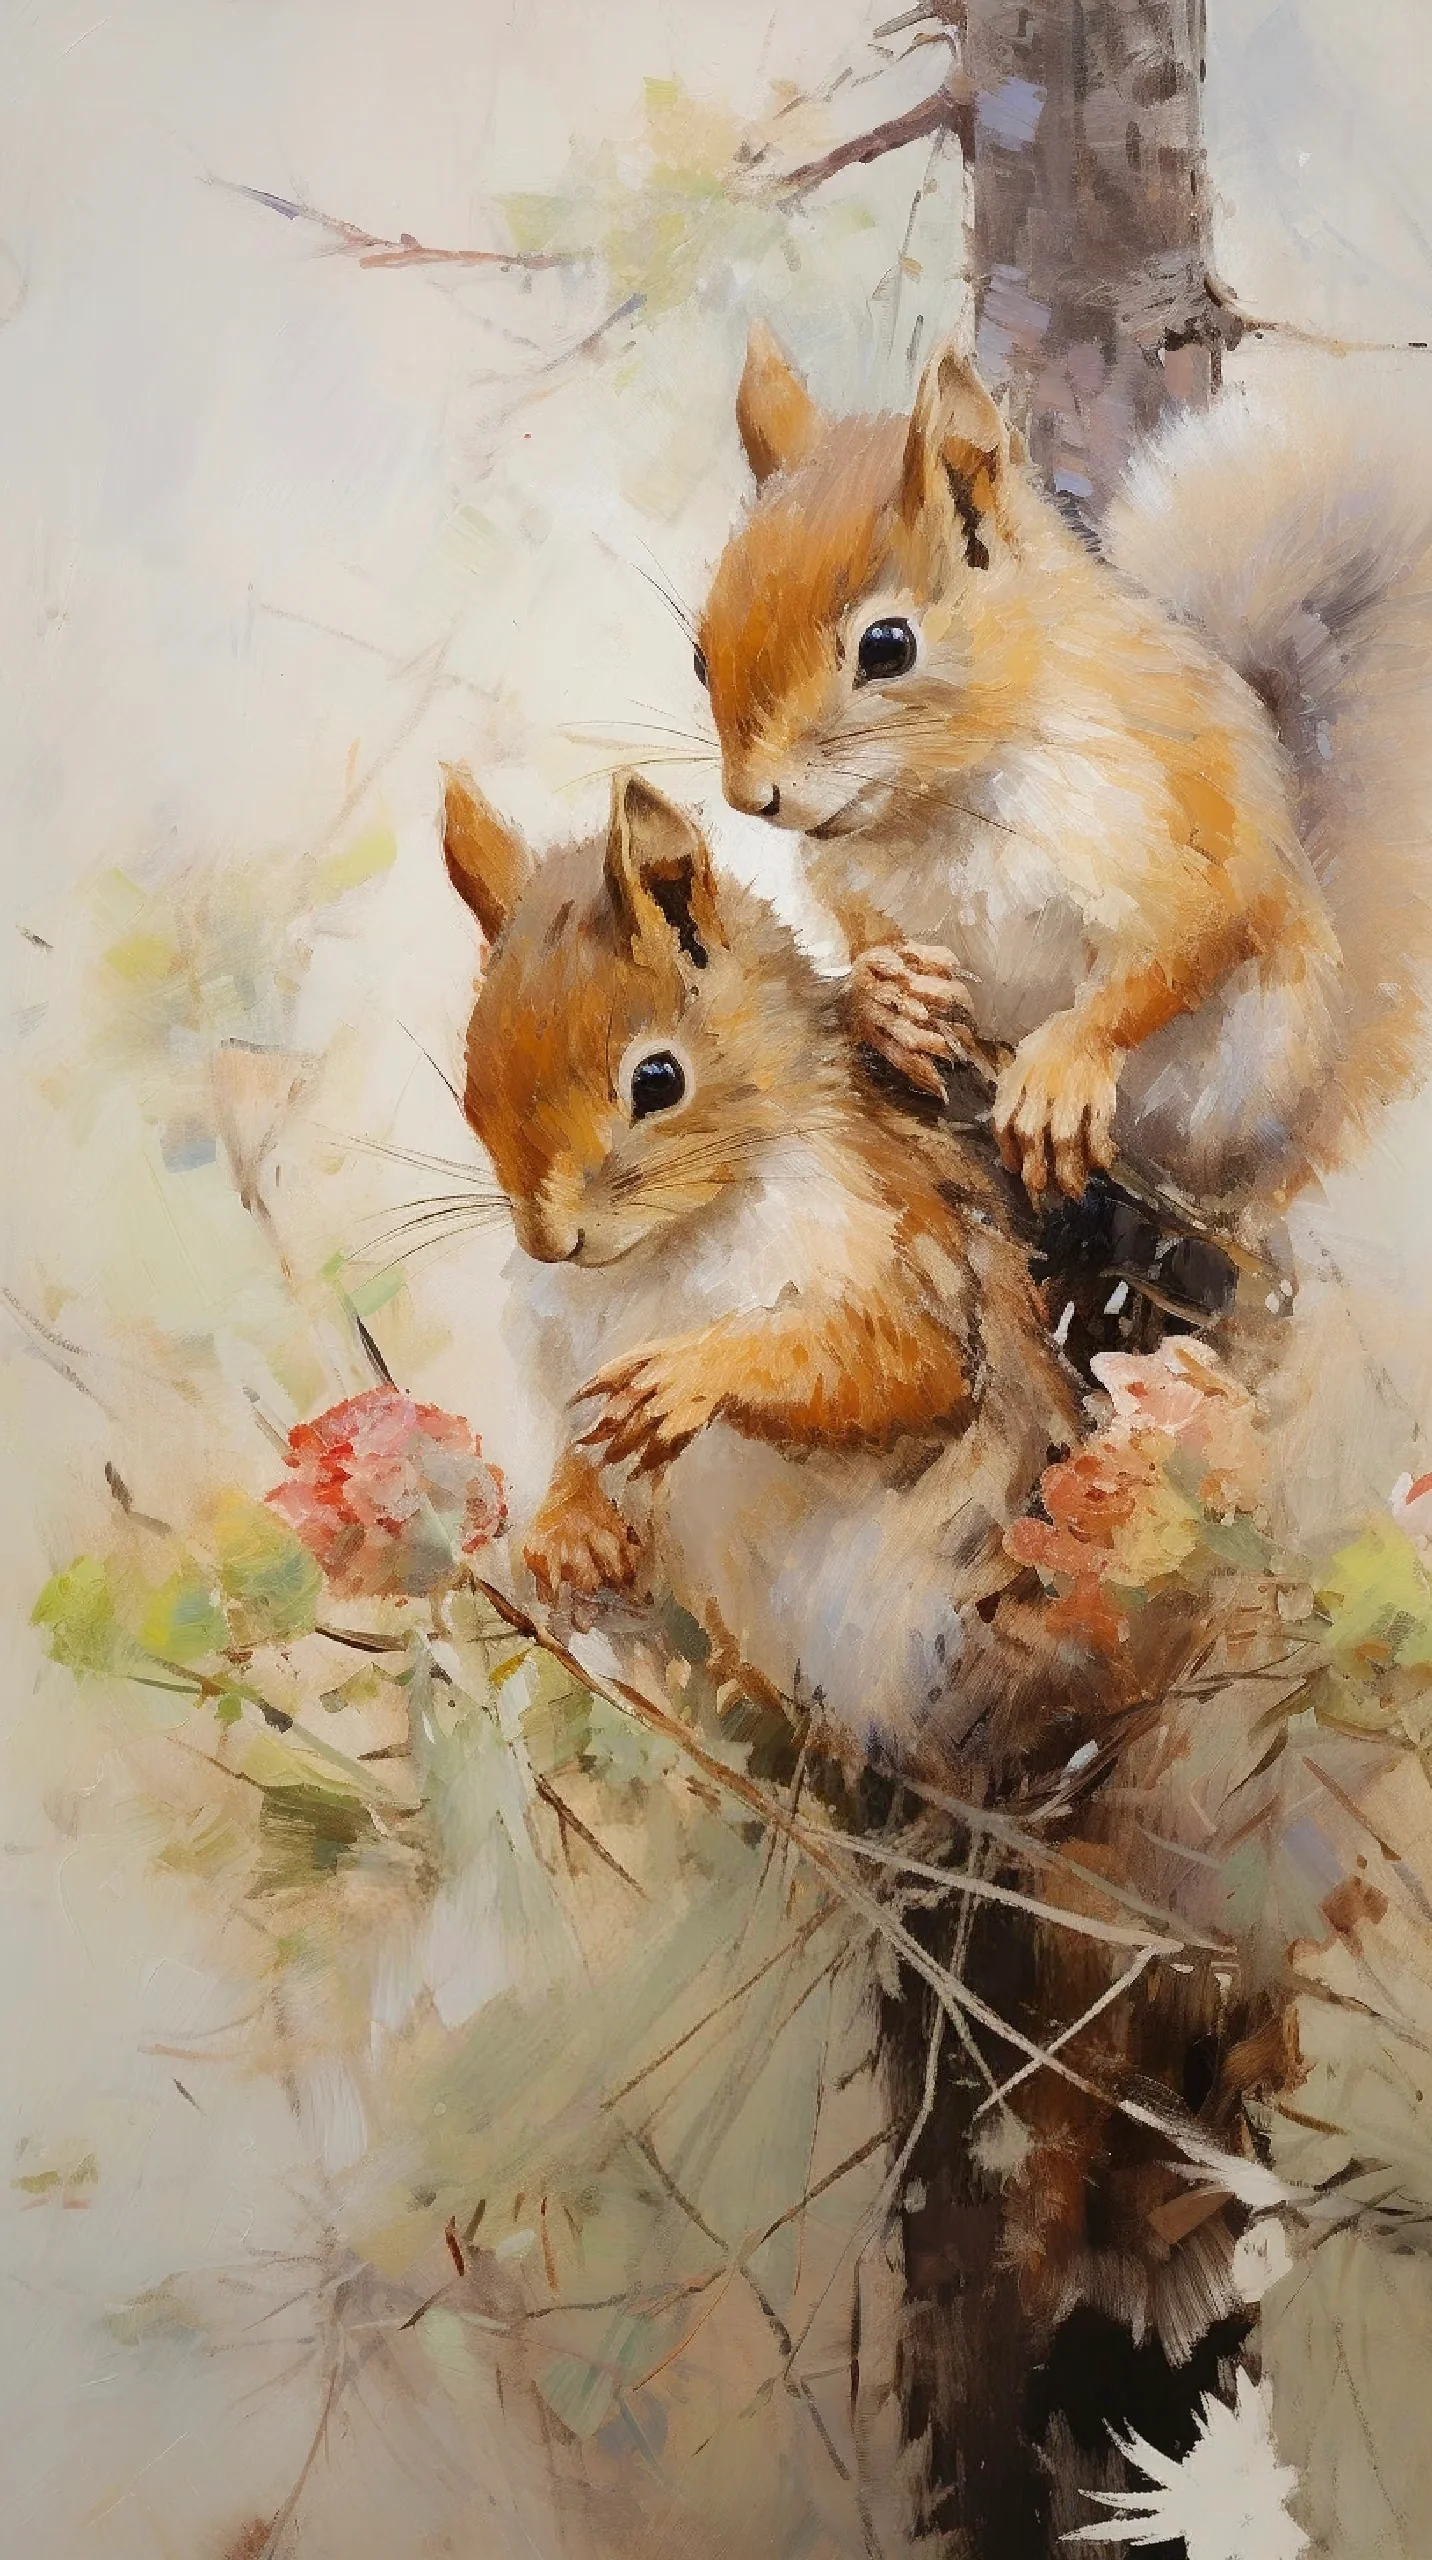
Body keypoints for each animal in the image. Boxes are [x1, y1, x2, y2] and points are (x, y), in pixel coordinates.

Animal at [438, 760, 1113, 1771]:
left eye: (658, 1080)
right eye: (473, 1082)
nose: (550, 1243)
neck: (671, 1243)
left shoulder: (895, 1237)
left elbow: (897, 1361)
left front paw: (688, 1377)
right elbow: (583, 1443)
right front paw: (568, 1527)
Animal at [694, 325, 1432, 1225]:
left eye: (888, 647)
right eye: (700, 655)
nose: (750, 797)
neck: (948, 803)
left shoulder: (1174, 823)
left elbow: (1189, 940)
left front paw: (1063, 1068)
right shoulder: (848, 867)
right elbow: (856, 924)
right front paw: (882, 993)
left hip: (1257, 1067)